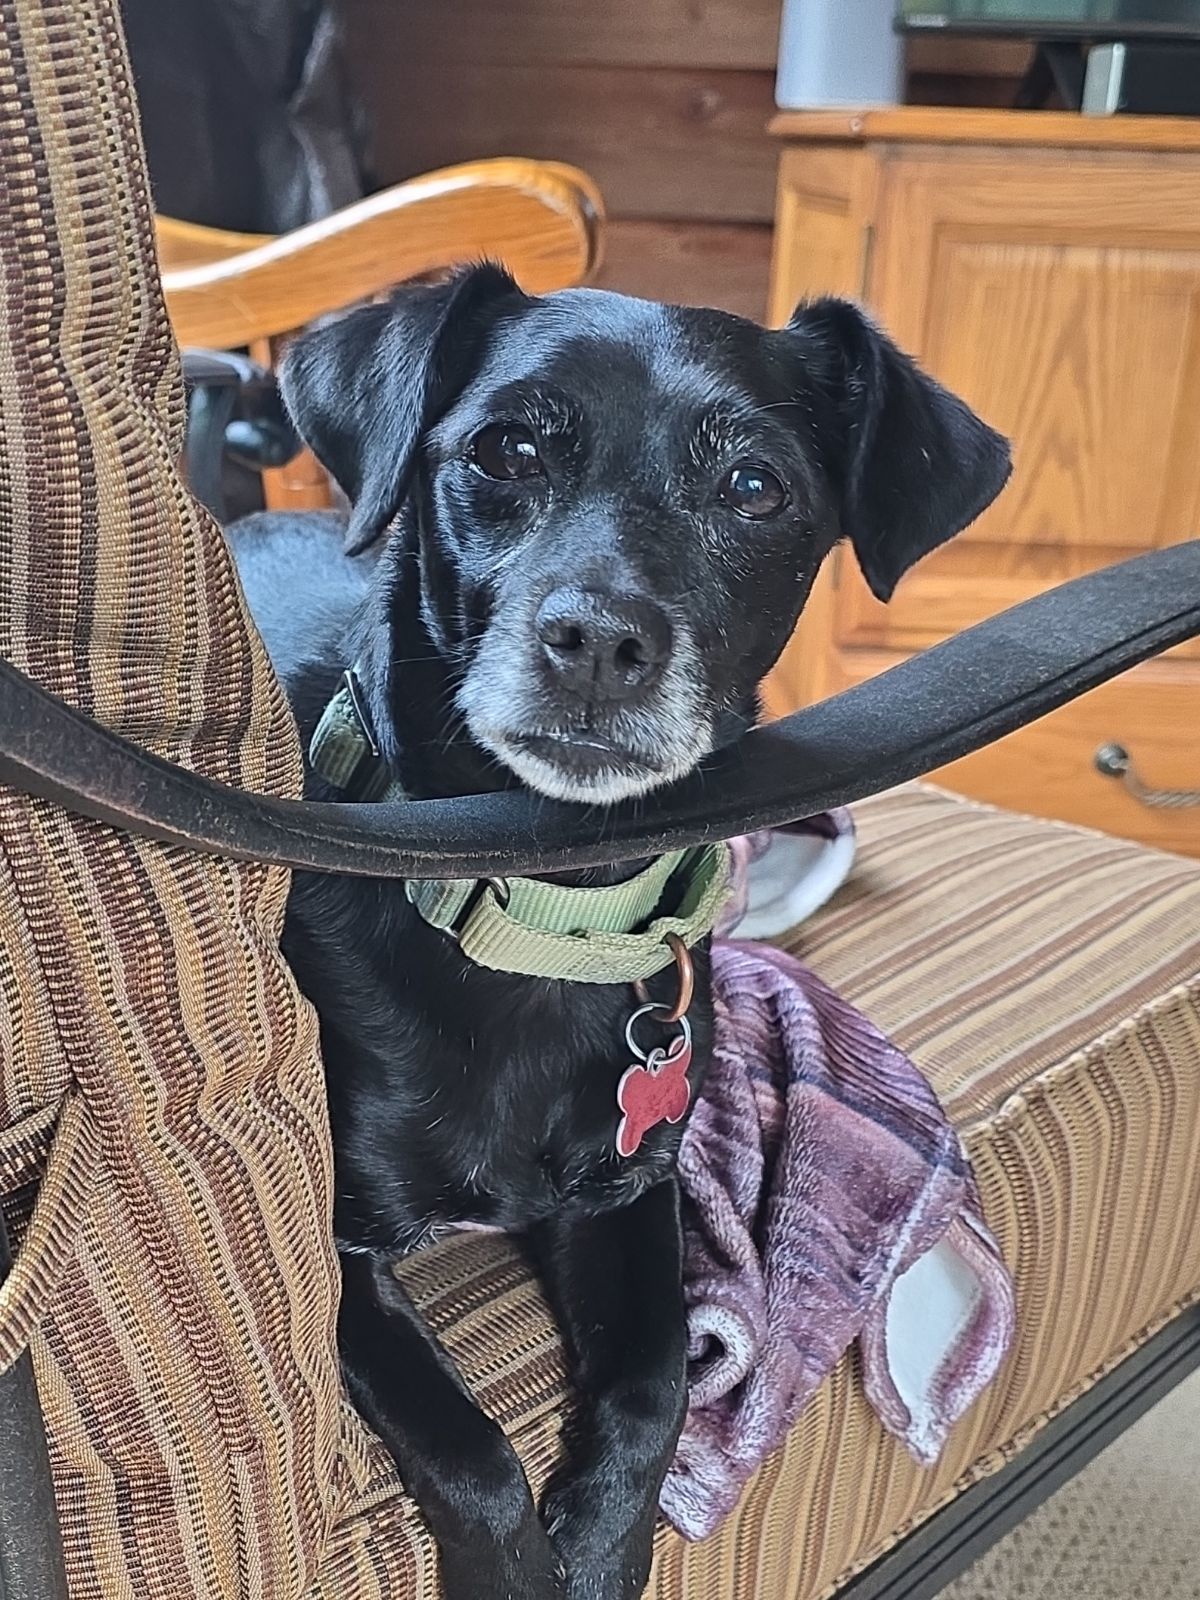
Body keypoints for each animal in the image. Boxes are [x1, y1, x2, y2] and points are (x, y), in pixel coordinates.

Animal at [227, 265, 1017, 1600]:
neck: (542, 907)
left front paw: (600, 1550)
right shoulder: (333, 1261)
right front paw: (518, 1571)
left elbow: (655, 1383)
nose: (598, 640)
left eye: (753, 485)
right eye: (506, 447)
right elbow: (466, 1439)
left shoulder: (626, 1196)